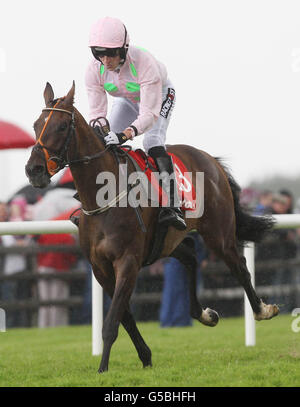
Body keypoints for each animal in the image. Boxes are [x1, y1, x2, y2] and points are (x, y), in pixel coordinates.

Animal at [25, 82, 278, 372]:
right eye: (36, 125)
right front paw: (145, 356)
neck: (102, 196)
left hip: (218, 232)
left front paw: (102, 368)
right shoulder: (100, 267)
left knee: (240, 266)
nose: (34, 170)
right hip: (167, 242)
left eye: (62, 126)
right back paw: (203, 314)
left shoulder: (128, 261)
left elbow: (112, 321)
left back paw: (262, 310)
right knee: (190, 254)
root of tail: (210, 159)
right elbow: (125, 317)